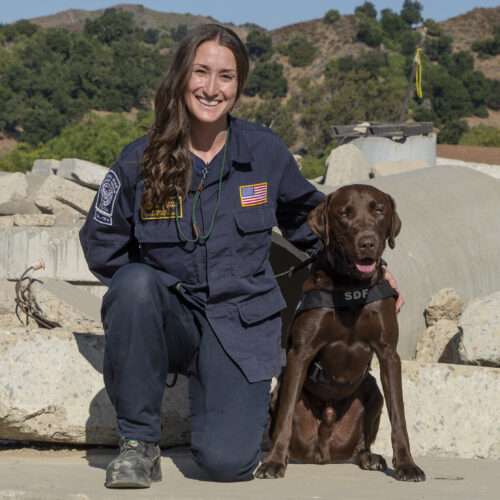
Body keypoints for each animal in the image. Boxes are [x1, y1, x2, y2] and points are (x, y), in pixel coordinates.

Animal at [258, 186, 426, 482]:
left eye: (378, 210)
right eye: (344, 214)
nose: (368, 242)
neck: (350, 287)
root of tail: (324, 452)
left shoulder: (388, 354)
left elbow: (399, 416)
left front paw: (407, 465)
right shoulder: (300, 353)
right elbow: (285, 416)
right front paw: (274, 462)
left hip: (372, 392)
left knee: (363, 442)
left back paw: (370, 457)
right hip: (279, 392)